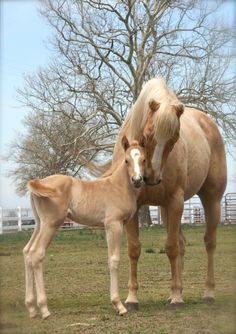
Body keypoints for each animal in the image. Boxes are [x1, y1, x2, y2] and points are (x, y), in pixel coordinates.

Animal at [23, 135, 146, 318]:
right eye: (126, 160)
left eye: (144, 159)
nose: (137, 180)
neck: (118, 187)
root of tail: (38, 182)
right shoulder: (113, 224)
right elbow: (114, 260)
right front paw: (118, 305)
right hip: (51, 224)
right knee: (36, 254)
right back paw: (44, 309)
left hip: (39, 224)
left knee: (27, 252)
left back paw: (31, 308)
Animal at [102, 76, 228, 310]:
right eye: (147, 134)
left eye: (174, 138)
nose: (150, 177)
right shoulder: (137, 209)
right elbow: (134, 249)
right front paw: (132, 299)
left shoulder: (176, 201)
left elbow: (170, 247)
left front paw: (177, 297)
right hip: (166, 210)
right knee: (182, 243)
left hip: (211, 200)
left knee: (209, 243)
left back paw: (206, 293)